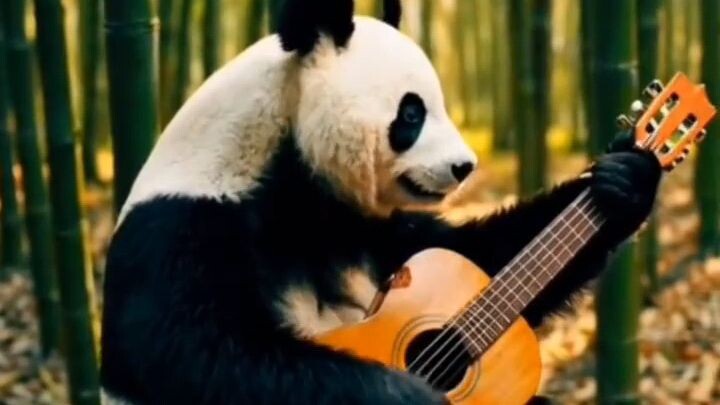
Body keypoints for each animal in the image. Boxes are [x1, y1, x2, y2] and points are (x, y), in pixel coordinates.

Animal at [99, 0, 661, 404]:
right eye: (411, 113)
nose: (466, 165)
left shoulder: (372, 227)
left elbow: (481, 256)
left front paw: (627, 178)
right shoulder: (180, 229)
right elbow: (201, 355)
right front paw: (408, 394)